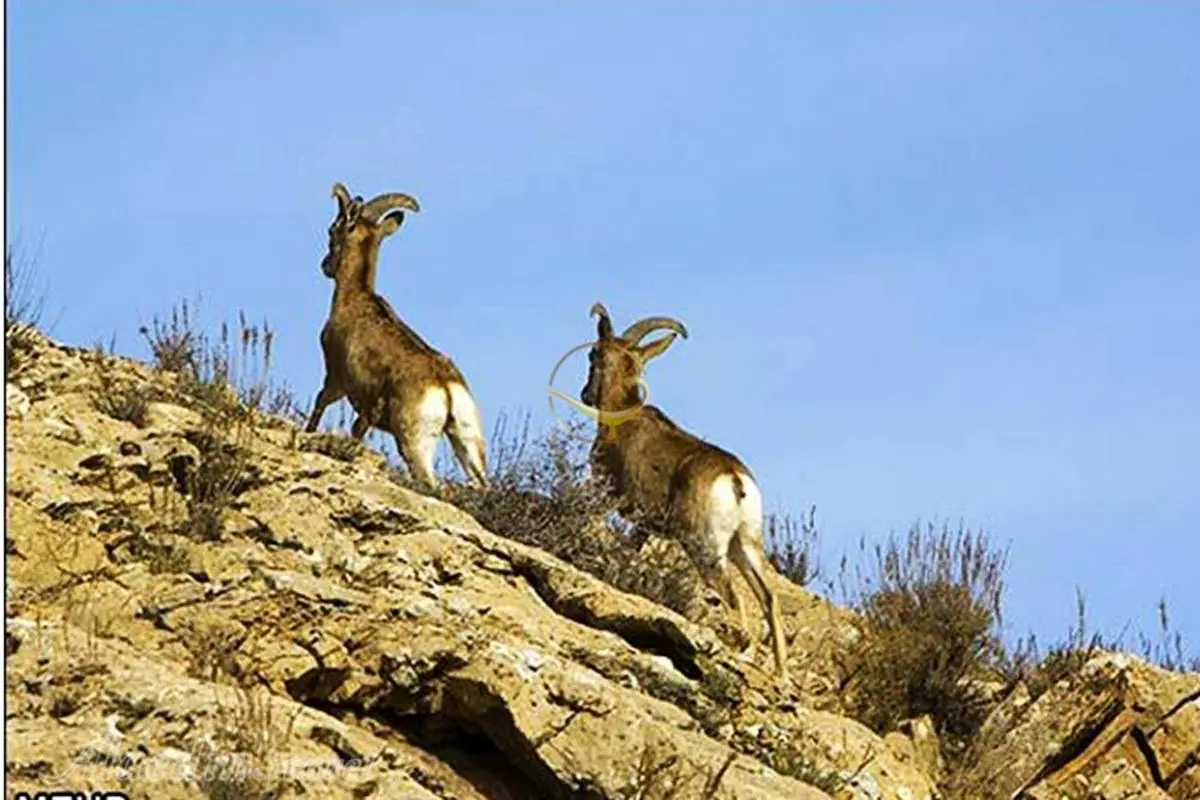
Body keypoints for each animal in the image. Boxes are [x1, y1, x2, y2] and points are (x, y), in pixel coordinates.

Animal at [307, 183, 489, 491]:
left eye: (332, 230)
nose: (325, 266)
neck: (354, 300)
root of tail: (446, 389)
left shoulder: (337, 379)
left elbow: (320, 402)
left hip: (414, 443)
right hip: (467, 441)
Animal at [573, 303, 787, 681]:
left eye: (593, 353)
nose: (585, 393)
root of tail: (734, 480)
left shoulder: (607, 496)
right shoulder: (643, 527)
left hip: (705, 549)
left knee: (733, 599)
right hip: (745, 546)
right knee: (769, 598)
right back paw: (782, 675)